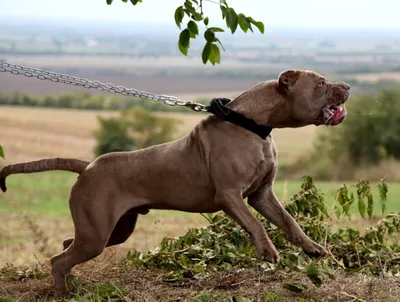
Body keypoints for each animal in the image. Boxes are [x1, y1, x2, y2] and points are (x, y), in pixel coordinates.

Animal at [0, 69, 348, 294]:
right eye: (320, 83)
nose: (345, 85)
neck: (252, 125)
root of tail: (87, 166)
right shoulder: (231, 197)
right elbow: (256, 224)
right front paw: (267, 251)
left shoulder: (262, 196)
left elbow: (290, 222)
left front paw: (314, 249)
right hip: (97, 233)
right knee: (59, 260)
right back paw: (63, 292)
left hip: (112, 230)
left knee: (65, 246)